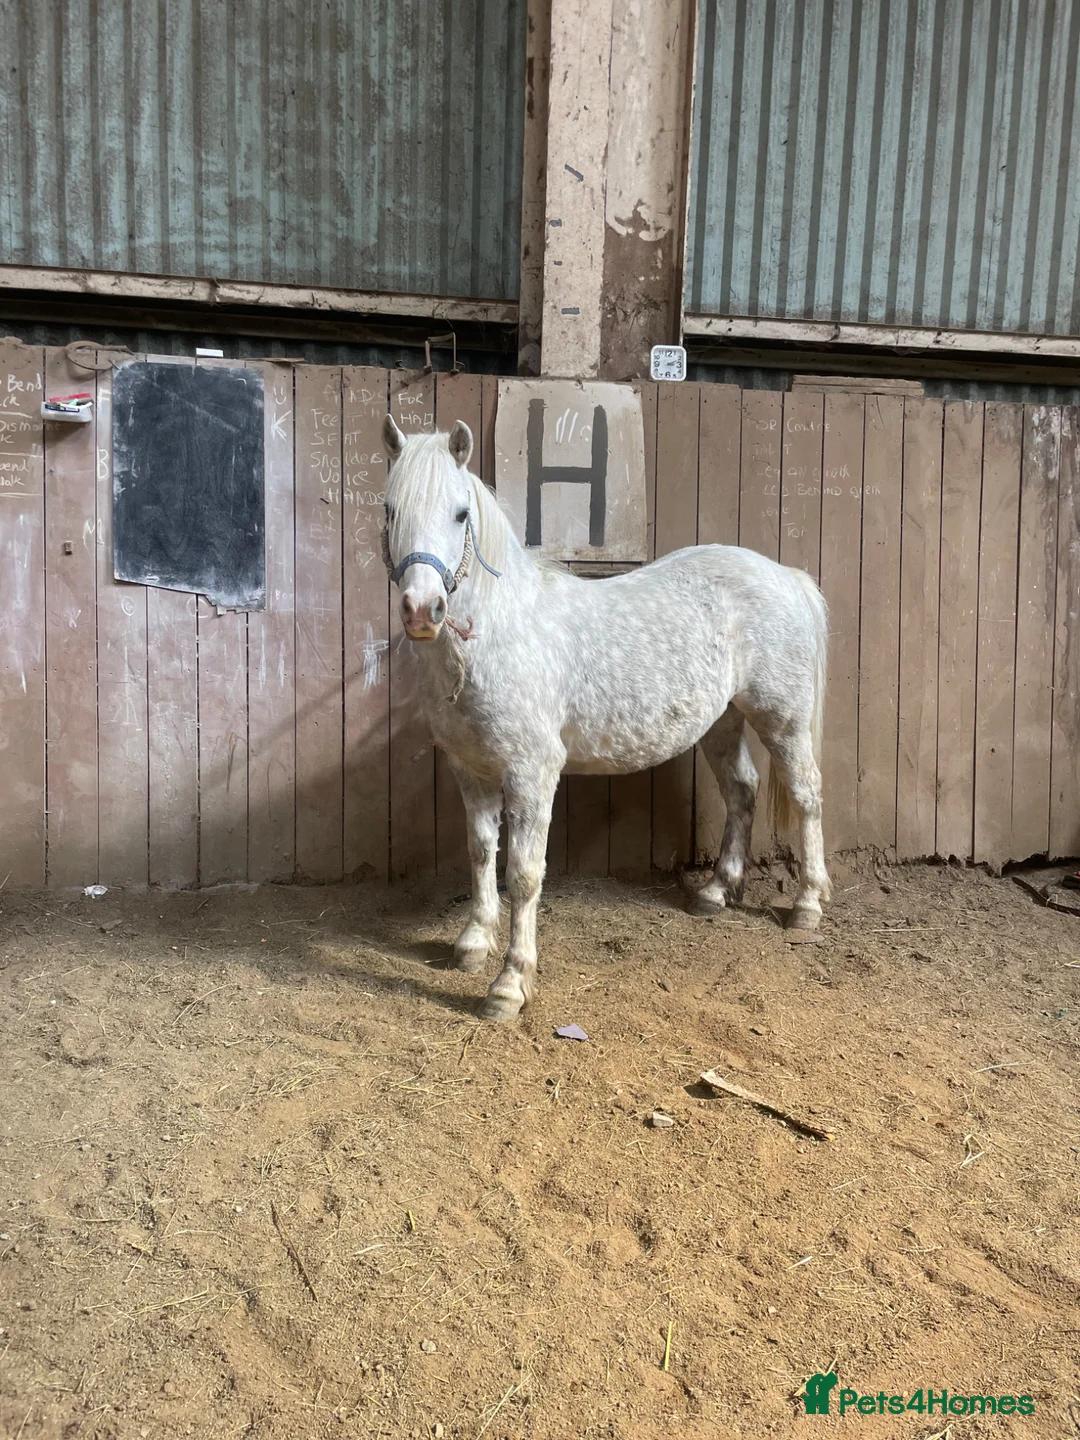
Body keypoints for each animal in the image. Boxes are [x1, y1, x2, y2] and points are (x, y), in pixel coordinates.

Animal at [381, 413, 830, 1022]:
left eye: (460, 514)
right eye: (390, 510)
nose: (422, 611)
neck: (499, 632)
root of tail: (786, 576)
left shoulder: (531, 773)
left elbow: (523, 873)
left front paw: (510, 985)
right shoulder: (470, 770)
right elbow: (480, 853)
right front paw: (473, 942)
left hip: (782, 719)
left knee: (805, 794)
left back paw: (807, 905)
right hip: (722, 721)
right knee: (742, 789)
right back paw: (715, 893)